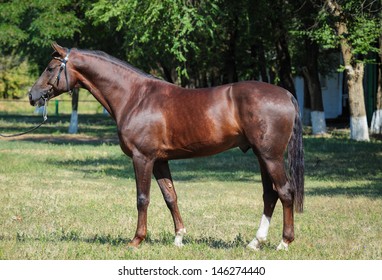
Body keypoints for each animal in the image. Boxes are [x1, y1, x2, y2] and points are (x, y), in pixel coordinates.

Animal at [27, 44, 304, 252]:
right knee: (270, 195)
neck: (135, 97)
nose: (32, 95)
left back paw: (284, 242)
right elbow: (171, 196)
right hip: (261, 156)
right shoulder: (160, 160)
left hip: (271, 157)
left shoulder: (142, 158)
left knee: (285, 192)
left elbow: (142, 198)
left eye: (50, 67)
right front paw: (179, 237)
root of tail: (286, 95)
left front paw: (136, 240)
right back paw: (255, 242)